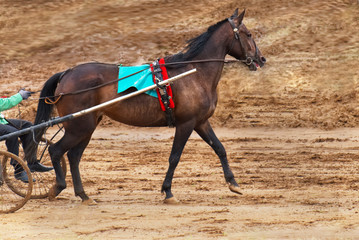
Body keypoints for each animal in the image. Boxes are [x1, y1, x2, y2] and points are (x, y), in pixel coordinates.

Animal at [35, 9, 266, 204]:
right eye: (248, 34)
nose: (261, 59)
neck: (194, 72)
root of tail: (67, 73)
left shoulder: (201, 122)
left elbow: (220, 148)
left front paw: (233, 183)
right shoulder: (186, 123)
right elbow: (175, 157)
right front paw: (168, 191)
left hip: (87, 127)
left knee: (73, 156)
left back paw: (83, 195)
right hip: (79, 127)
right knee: (56, 150)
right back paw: (58, 187)